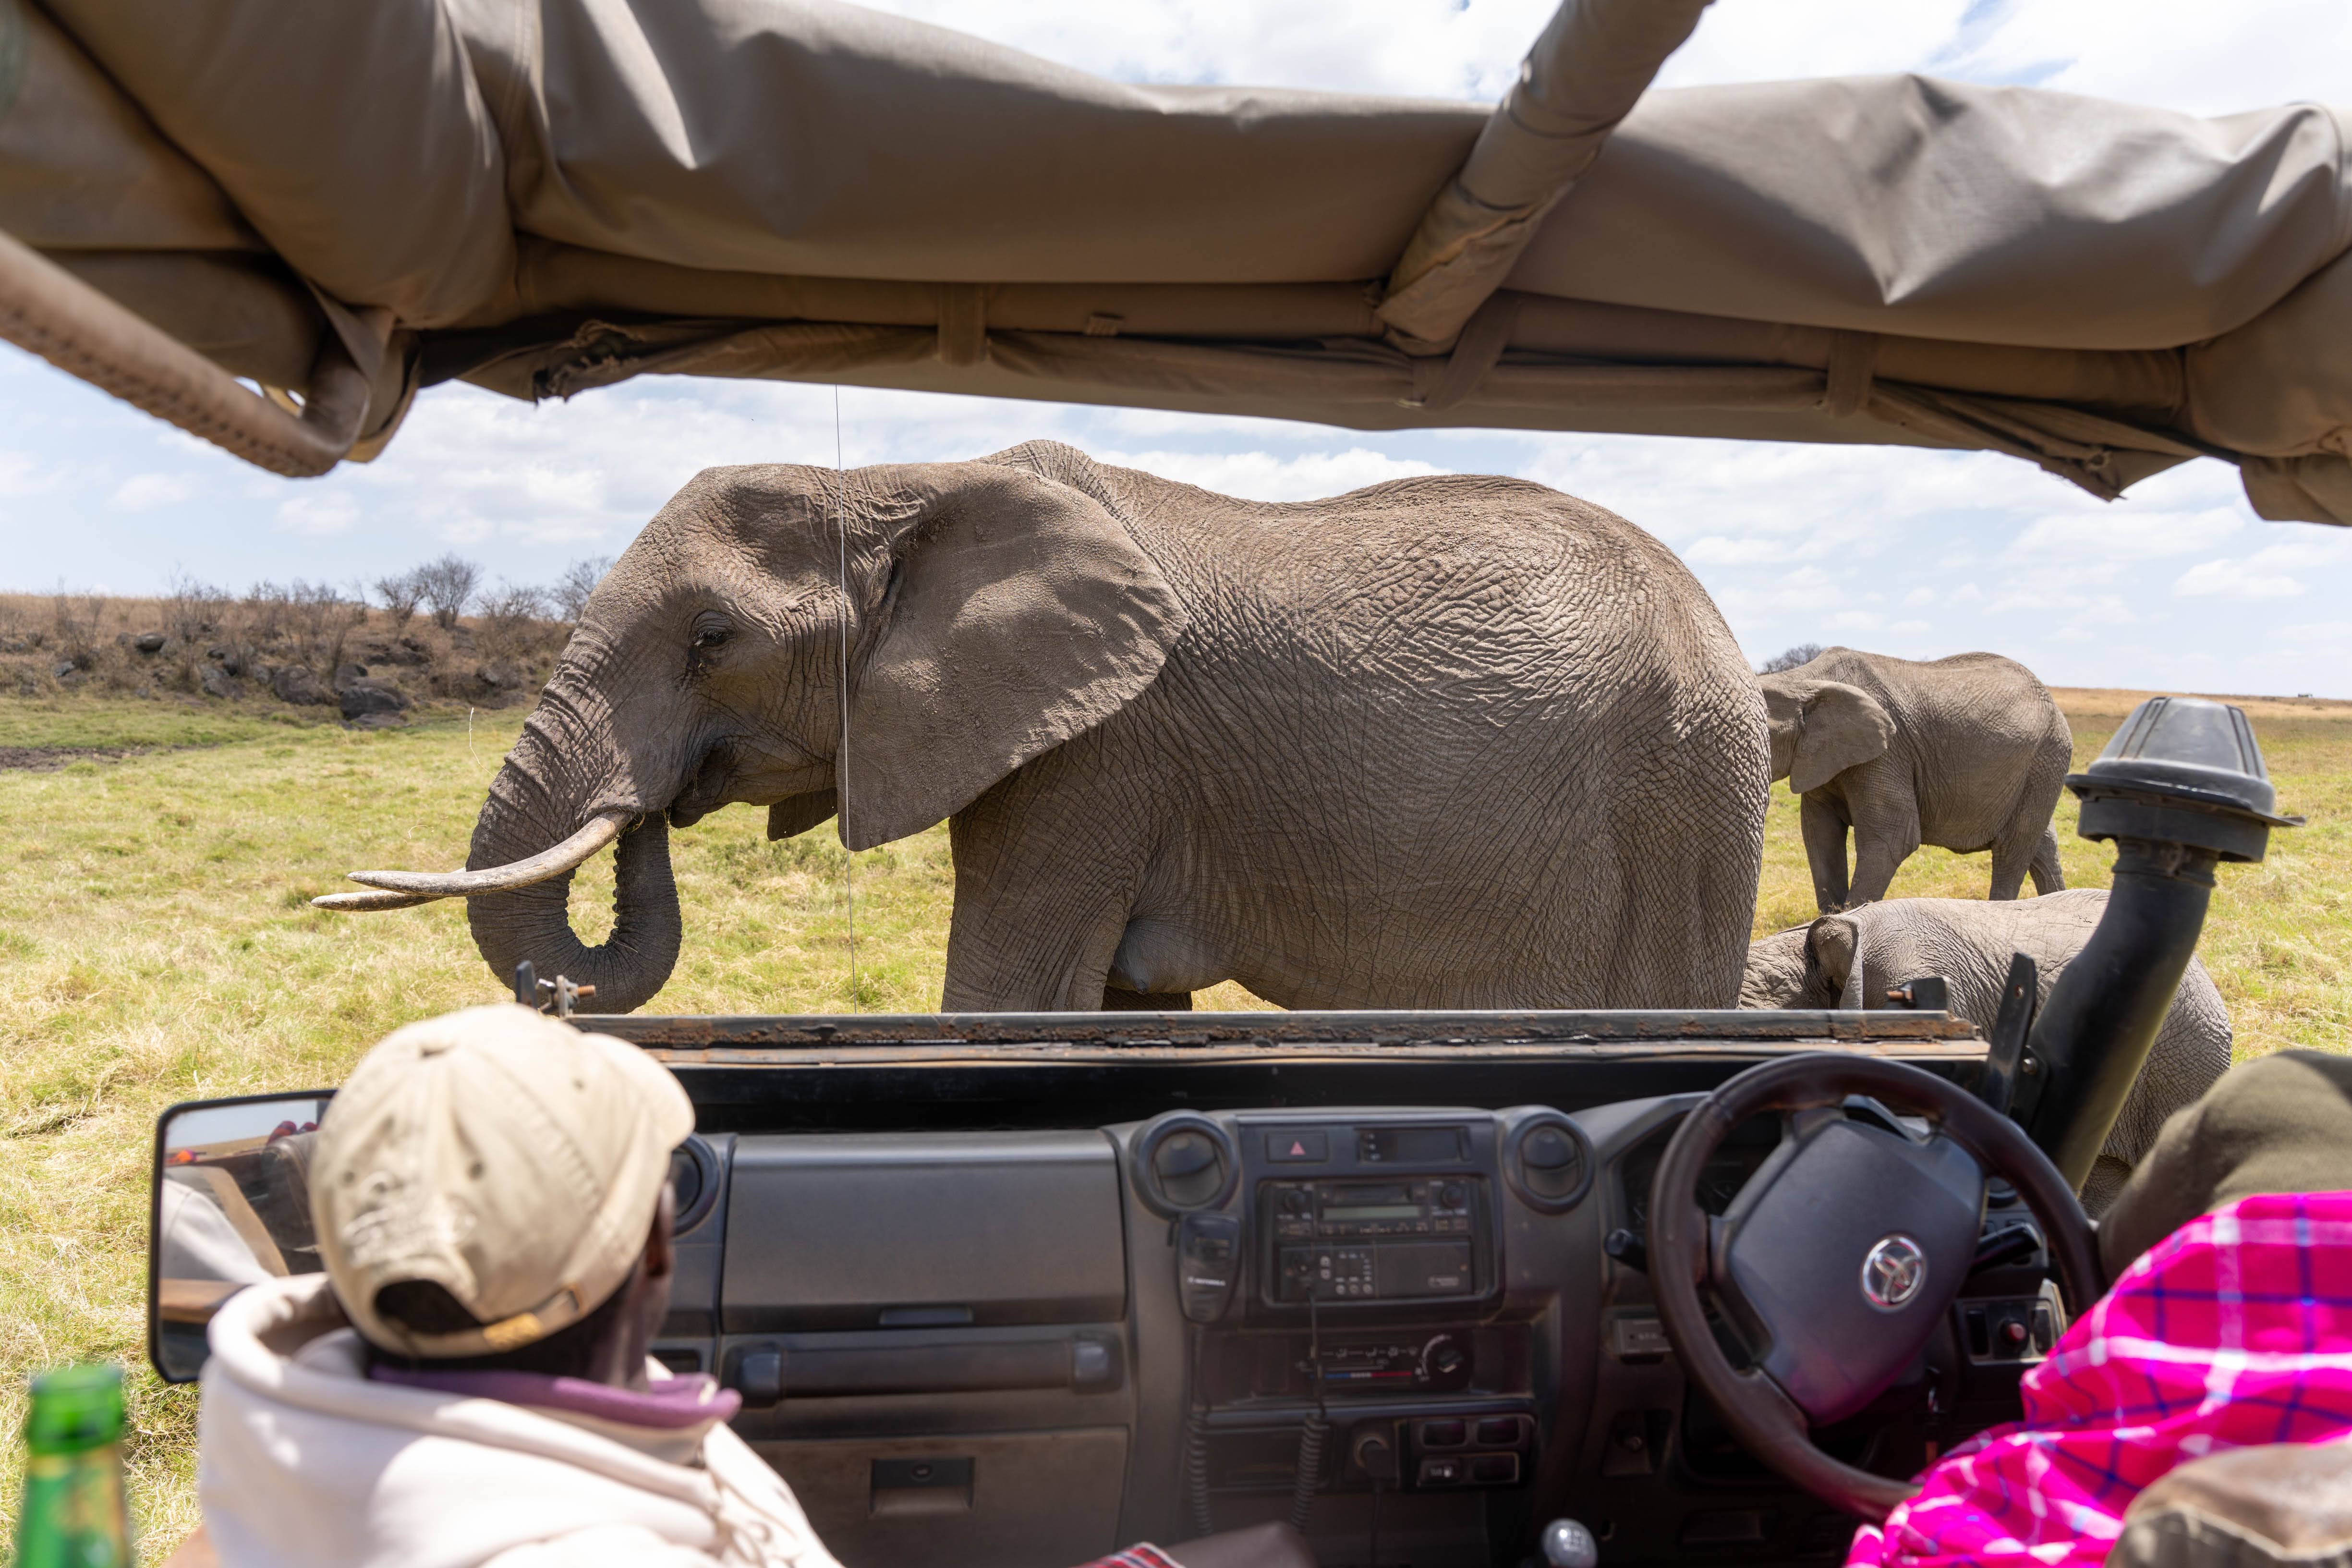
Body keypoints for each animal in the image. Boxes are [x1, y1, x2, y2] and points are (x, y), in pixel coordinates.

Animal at [342, 441, 1770, 1013]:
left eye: (712, 640)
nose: (551, 996)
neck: (900, 477)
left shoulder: (1100, 752)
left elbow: (1008, 992)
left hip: (1681, 812)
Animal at [1758, 647, 2072, 912]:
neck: (1803, 680)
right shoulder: (1819, 759)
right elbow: (1820, 836)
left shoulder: (1888, 754)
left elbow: (1892, 839)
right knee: (2043, 846)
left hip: (2045, 758)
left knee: (2013, 848)